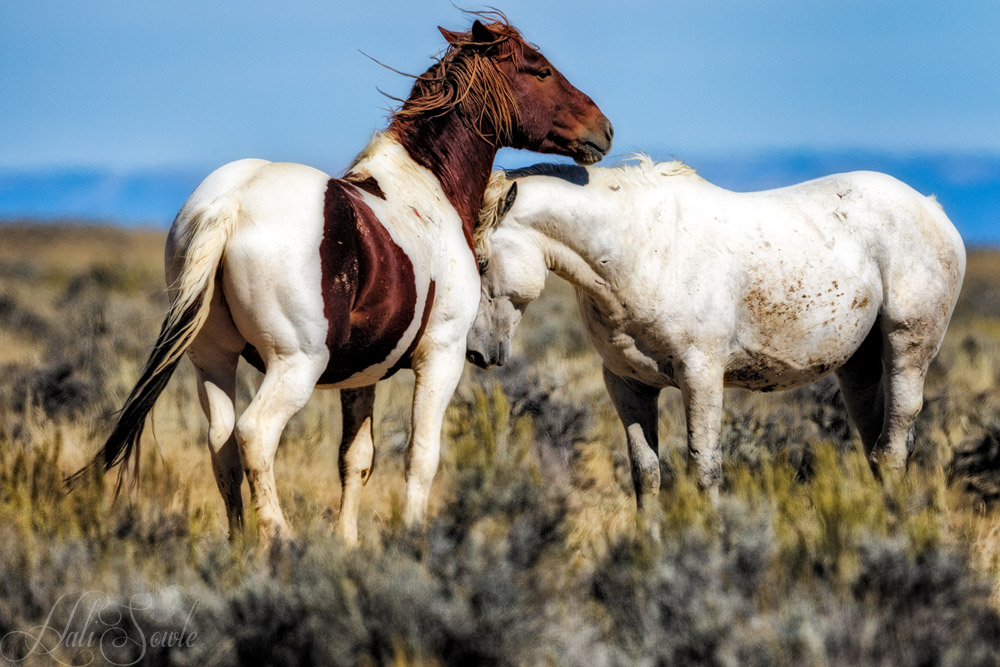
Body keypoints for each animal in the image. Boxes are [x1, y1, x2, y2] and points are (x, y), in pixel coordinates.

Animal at [68, 16, 613, 546]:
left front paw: (347, 542)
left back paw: (239, 546)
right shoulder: (441, 356)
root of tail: (232, 202)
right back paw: (279, 538)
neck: (428, 187)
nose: (604, 130)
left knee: (221, 445)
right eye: (539, 70)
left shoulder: (362, 375)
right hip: (296, 365)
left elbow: (356, 459)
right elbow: (421, 457)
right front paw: (413, 539)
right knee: (254, 434)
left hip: (212, 360)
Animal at [467, 157, 965, 517]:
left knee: (893, 448)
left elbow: (704, 468)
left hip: (907, 351)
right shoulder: (627, 384)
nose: (474, 352)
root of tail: (932, 207)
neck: (637, 251)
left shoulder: (701, 376)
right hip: (859, 368)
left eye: (483, 262)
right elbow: (646, 474)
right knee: (878, 447)